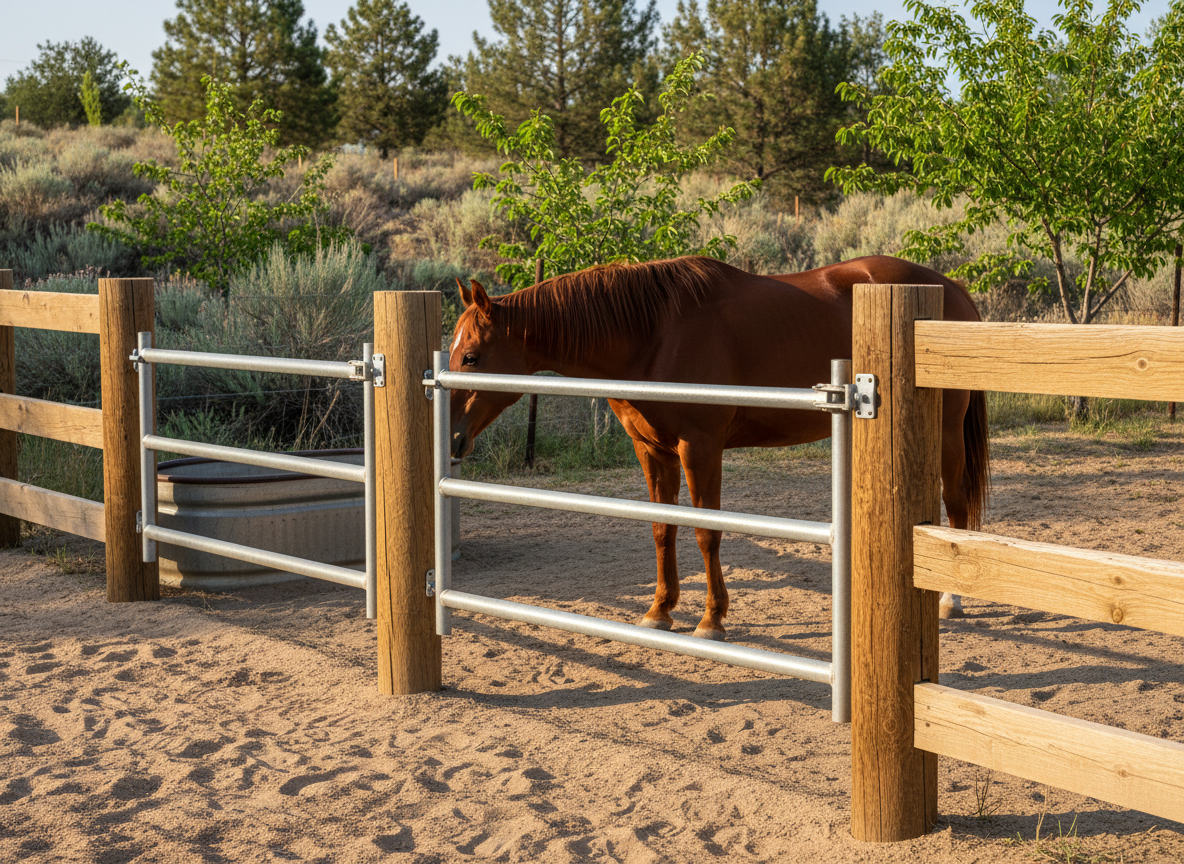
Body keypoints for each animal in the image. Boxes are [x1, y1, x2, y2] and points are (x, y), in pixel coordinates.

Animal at [448, 255, 989, 639]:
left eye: (471, 356)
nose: (453, 438)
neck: (652, 335)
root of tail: (951, 288)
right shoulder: (653, 451)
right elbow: (663, 528)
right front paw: (659, 610)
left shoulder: (700, 449)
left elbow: (707, 532)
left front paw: (712, 620)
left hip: (944, 434)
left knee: (956, 504)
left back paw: (952, 600)